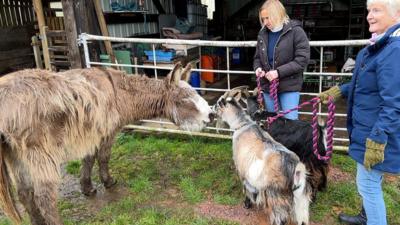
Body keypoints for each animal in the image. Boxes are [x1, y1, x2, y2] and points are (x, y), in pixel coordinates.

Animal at [0, 63, 212, 225]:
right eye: (184, 100)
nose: (210, 117)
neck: (119, 93)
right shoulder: (107, 132)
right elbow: (102, 157)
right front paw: (107, 182)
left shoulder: (92, 134)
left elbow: (88, 159)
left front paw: (87, 187)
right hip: (40, 152)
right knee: (44, 197)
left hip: (15, 154)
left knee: (24, 193)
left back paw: (36, 221)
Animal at [214, 89, 310, 225]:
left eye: (218, 103)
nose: (211, 108)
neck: (243, 124)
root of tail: (297, 170)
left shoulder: (243, 172)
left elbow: (246, 190)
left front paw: (247, 204)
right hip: (300, 199)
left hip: (276, 196)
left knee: (280, 218)